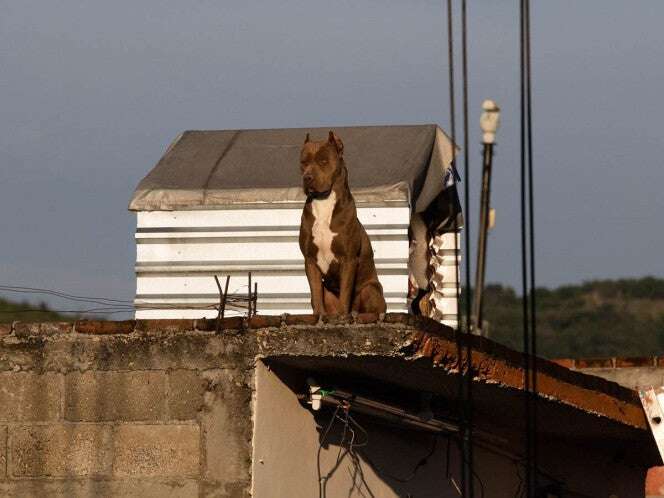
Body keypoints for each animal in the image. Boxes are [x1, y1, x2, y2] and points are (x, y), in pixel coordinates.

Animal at [298, 129, 386, 316]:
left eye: (323, 161)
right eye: (303, 162)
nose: (307, 177)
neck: (323, 202)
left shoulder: (348, 260)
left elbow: (346, 293)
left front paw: (344, 315)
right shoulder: (310, 261)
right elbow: (316, 294)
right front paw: (318, 315)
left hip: (370, 289)